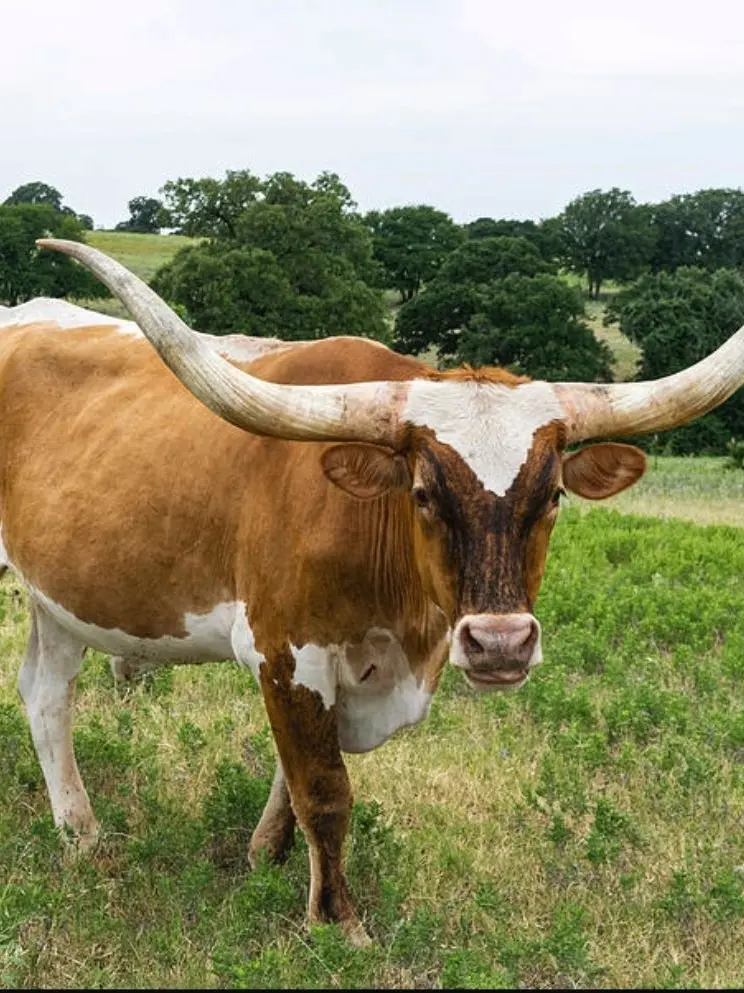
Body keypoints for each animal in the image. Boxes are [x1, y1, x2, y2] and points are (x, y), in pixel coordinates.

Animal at [0, 238, 742, 945]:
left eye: (554, 494)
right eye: (422, 493)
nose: (500, 642)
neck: (401, 629)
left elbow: (292, 777)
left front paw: (267, 859)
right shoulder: (287, 650)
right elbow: (324, 789)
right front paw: (338, 922)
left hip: (59, 598)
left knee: (47, 693)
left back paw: (81, 835)